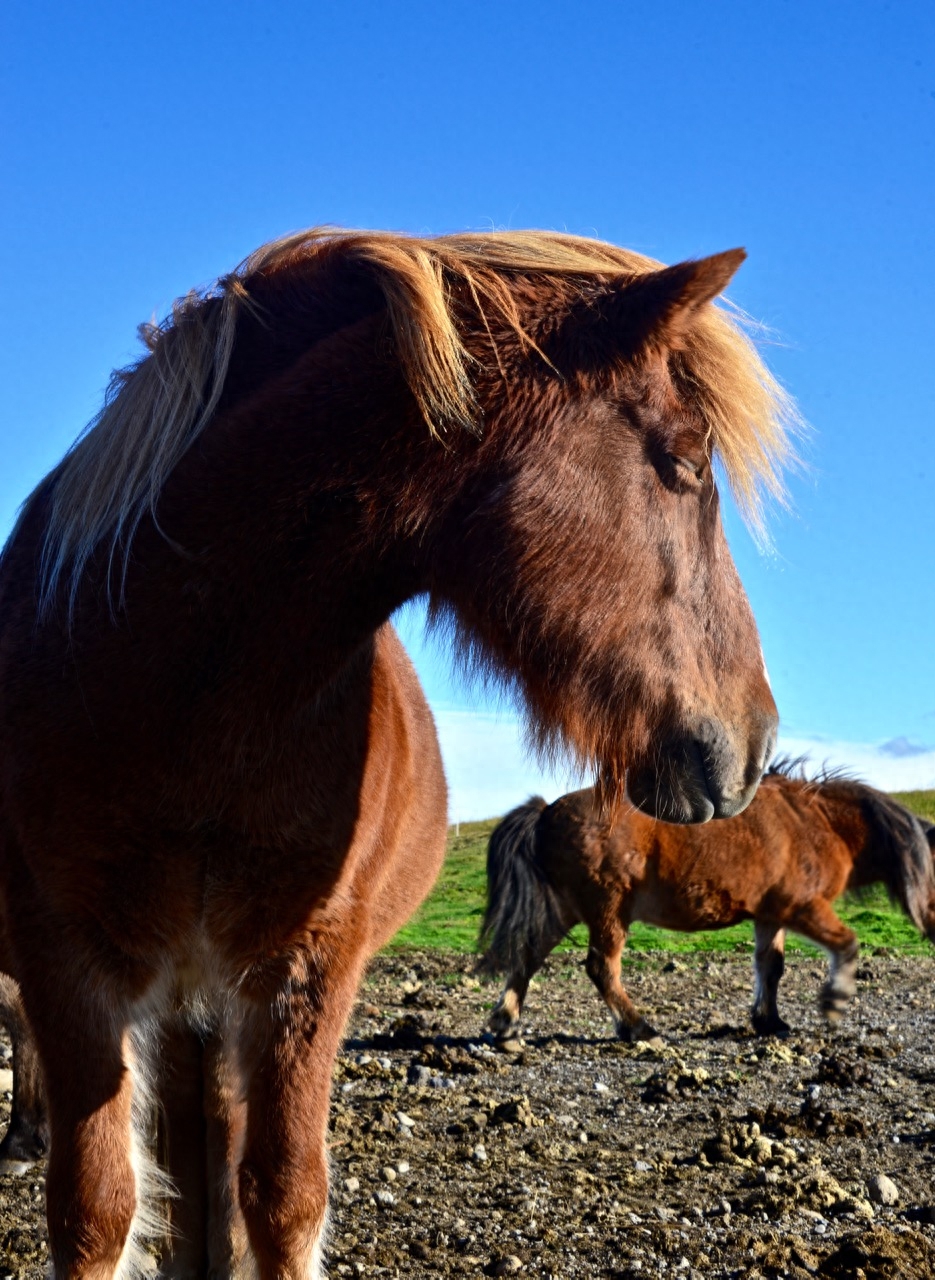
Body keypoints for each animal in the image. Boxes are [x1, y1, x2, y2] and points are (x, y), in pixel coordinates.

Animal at [0, 230, 788, 1280]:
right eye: (684, 462)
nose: (755, 740)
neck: (186, 696)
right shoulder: (69, 966)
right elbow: (97, 1211)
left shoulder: (304, 972)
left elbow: (281, 1198)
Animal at [481, 757, 932, 1039]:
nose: (932, 923)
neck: (816, 822)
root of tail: (546, 811)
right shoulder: (803, 907)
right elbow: (847, 944)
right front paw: (834, 1002)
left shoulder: (771, 915)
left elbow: (771, 967)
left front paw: (769, 1021)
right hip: (608, 910)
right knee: (601, 968)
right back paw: (640, 1029)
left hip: (568, 909)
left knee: (528, 957)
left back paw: (505, 1025)